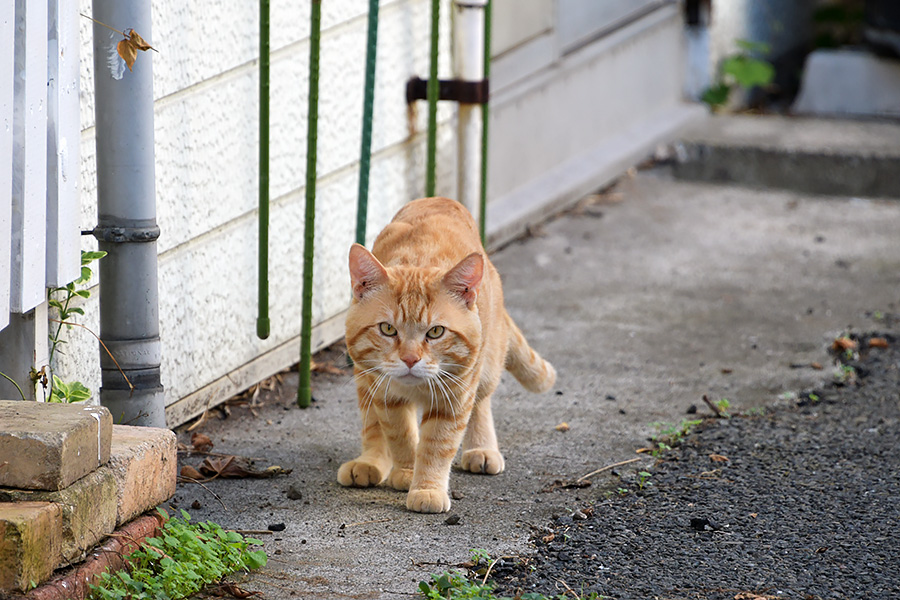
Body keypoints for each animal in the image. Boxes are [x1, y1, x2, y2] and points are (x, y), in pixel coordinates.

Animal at [338, 196, 556, 510]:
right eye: (388, 329)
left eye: (436, 332)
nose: (410, 359)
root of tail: (440, 198)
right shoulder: (385, 394)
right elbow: (399, 433)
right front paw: (406, 470)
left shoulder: (454, 396)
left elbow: (436, 445)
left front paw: (426, 487)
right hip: (364, 376)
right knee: (372, 425)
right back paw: (370, 462)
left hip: (486, 366)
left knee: (482, 403)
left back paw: (481, 448)